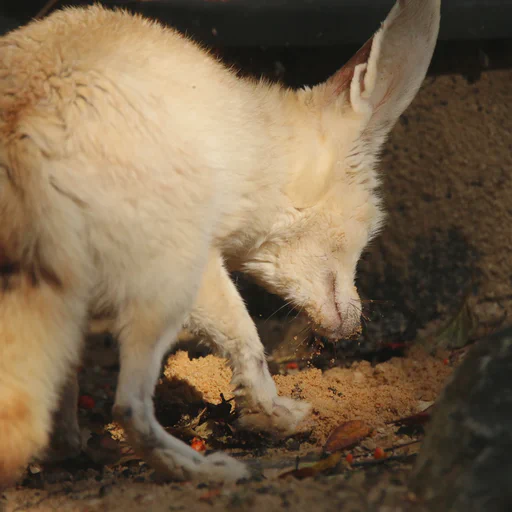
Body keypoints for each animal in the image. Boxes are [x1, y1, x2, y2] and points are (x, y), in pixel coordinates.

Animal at [0, 0, 440, 484]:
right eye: (367, 234)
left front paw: (64, 446)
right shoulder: (203, 261)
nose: (356, 328)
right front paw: (274, 412)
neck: (260, 146)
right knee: (128, 406)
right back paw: (209, 470)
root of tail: (24, 120)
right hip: (165, 284)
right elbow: (248, 346)